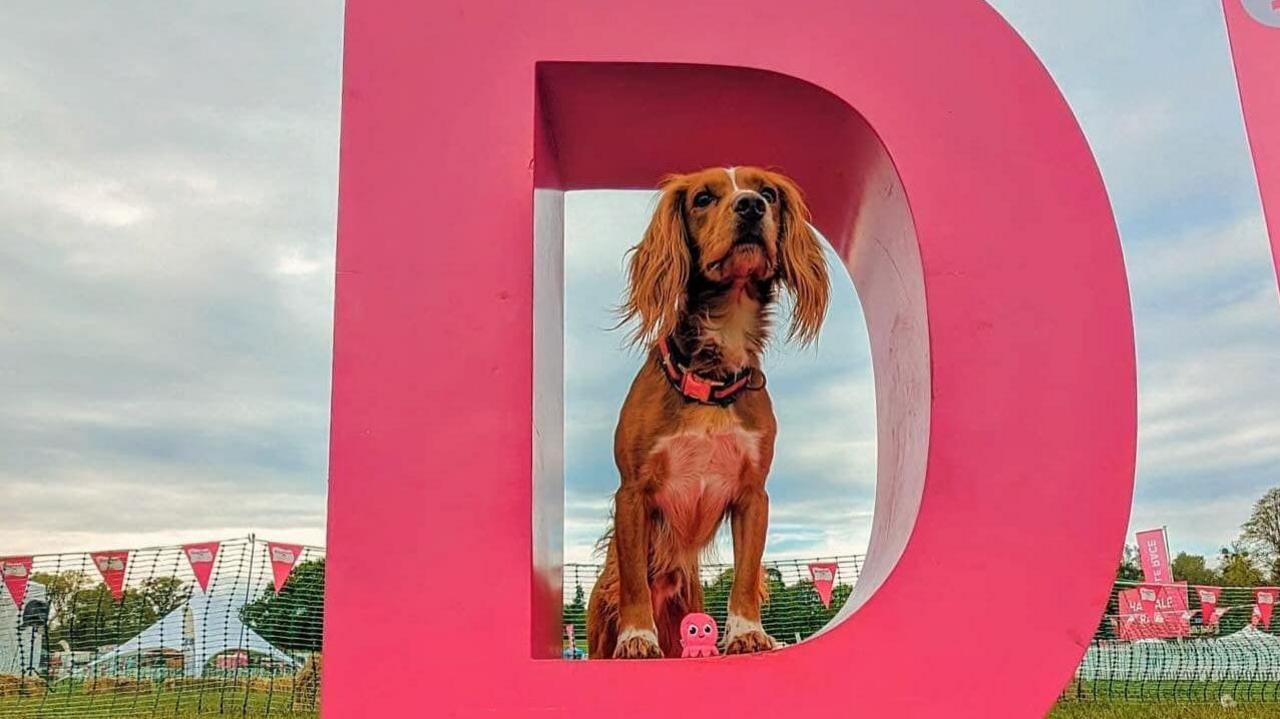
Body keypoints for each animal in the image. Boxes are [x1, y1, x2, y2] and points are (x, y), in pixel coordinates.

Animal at [586, 166, 829, 655]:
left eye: (769, 193)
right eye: (702, 198)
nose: (751, 205)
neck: (711, 382)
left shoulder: (753, 495)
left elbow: (746, 572)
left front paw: (747, 632)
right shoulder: (632, 493)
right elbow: (635, 583)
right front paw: (637, 638)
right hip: (602, 605)